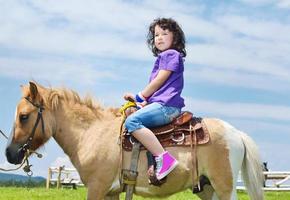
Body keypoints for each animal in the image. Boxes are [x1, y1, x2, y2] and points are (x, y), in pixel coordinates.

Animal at [6, 81, 266, 200]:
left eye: (24, 116)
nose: (10, 153)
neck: (92, 132)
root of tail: (236, 133)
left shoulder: (97, 188)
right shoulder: (111, 191)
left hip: (224, 188)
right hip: (206, 188)